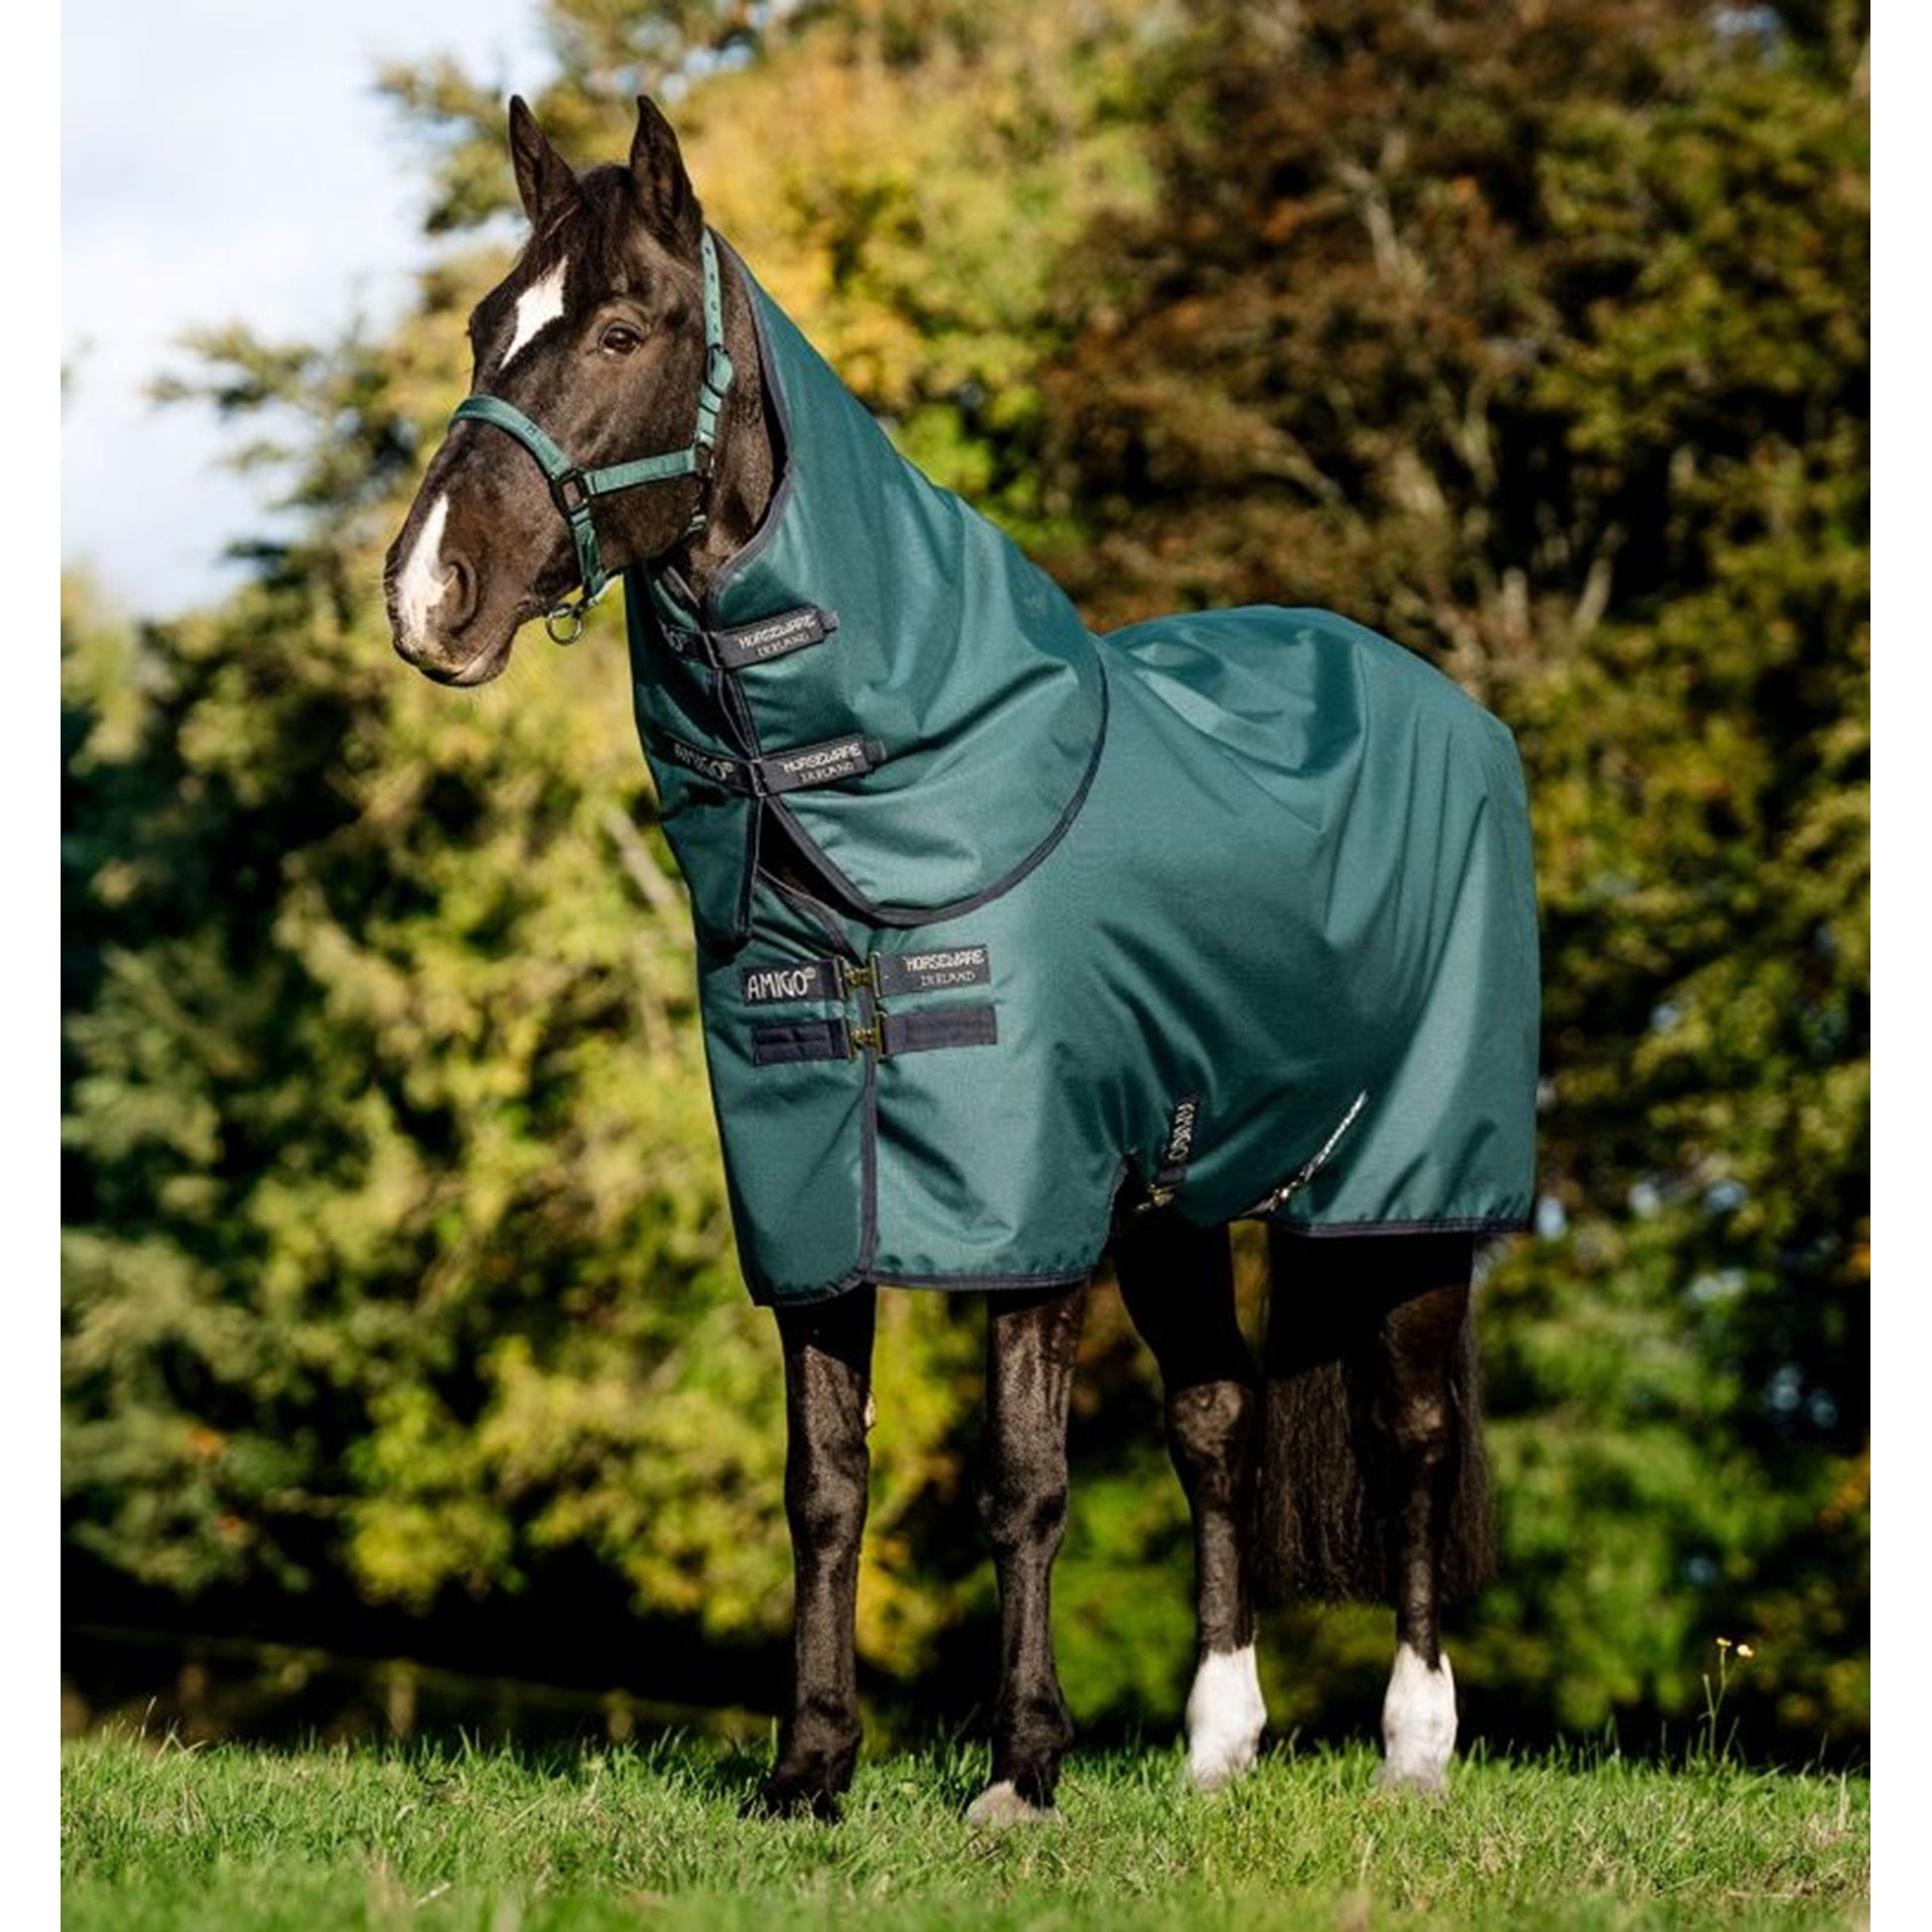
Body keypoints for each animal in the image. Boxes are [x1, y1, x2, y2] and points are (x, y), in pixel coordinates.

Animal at [384, 96, 1537, 1823]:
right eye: (480, 327)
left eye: (620, 328)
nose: (425, 594)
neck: (892, 811)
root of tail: (1444, 704)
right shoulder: (812, 1207)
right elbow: (822, 1483)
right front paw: (807, 1769)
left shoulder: (1027, 1215)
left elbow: (1024, 1482)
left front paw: (1019, 1770)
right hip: (1178, 1200)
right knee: (1219, 1424)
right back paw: (1217, 1746)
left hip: (1401, 1192)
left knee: (1404, 1432)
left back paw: (1414, 1747)